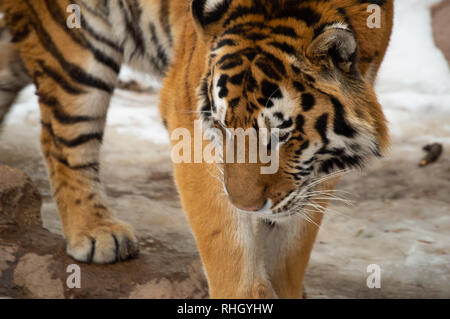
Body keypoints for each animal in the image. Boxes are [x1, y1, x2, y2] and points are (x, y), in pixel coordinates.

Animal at [0, 0, 392, 300]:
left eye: (281, 132)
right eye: (221, 127)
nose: (246, 206)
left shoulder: (314, 172)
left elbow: (290, 246)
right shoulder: (187, 116)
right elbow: (225, 240)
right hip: (74, 49)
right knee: (63, 139)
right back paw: (96, 230)